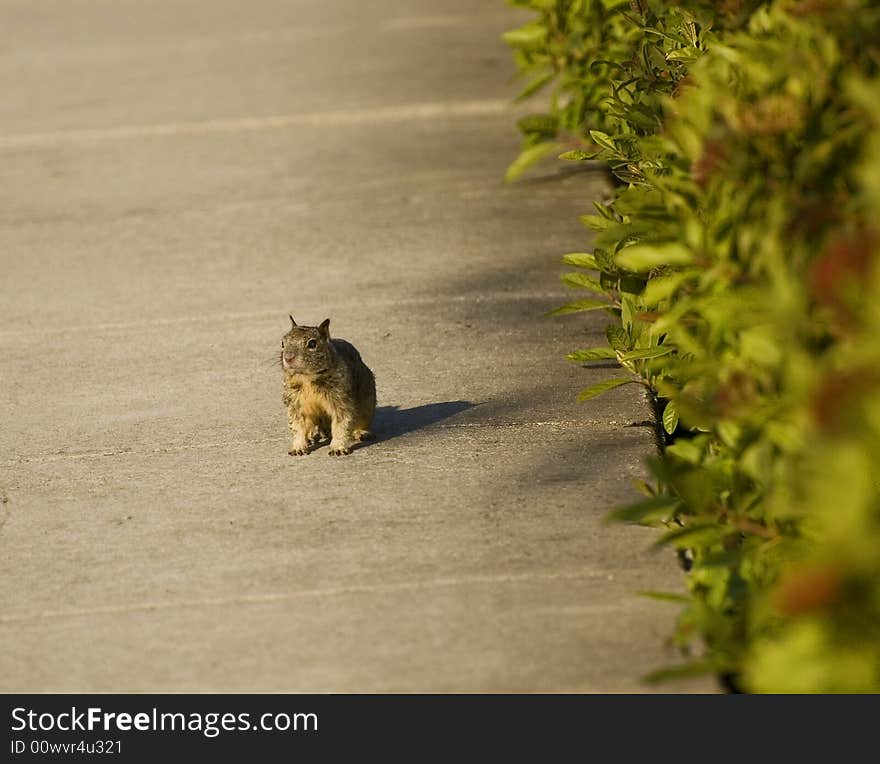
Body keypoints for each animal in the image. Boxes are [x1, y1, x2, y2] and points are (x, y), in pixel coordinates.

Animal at [280, 314, 376, 454]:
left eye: (312, 343)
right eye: (282, 342)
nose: (288, 358)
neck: (307, 378)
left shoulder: (341, 399)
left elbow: (341, 423)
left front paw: (337, 448)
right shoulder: (295, 403)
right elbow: (298, 426)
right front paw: (298, 447)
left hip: (367, 403)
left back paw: (361, 432)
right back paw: (310, 436)